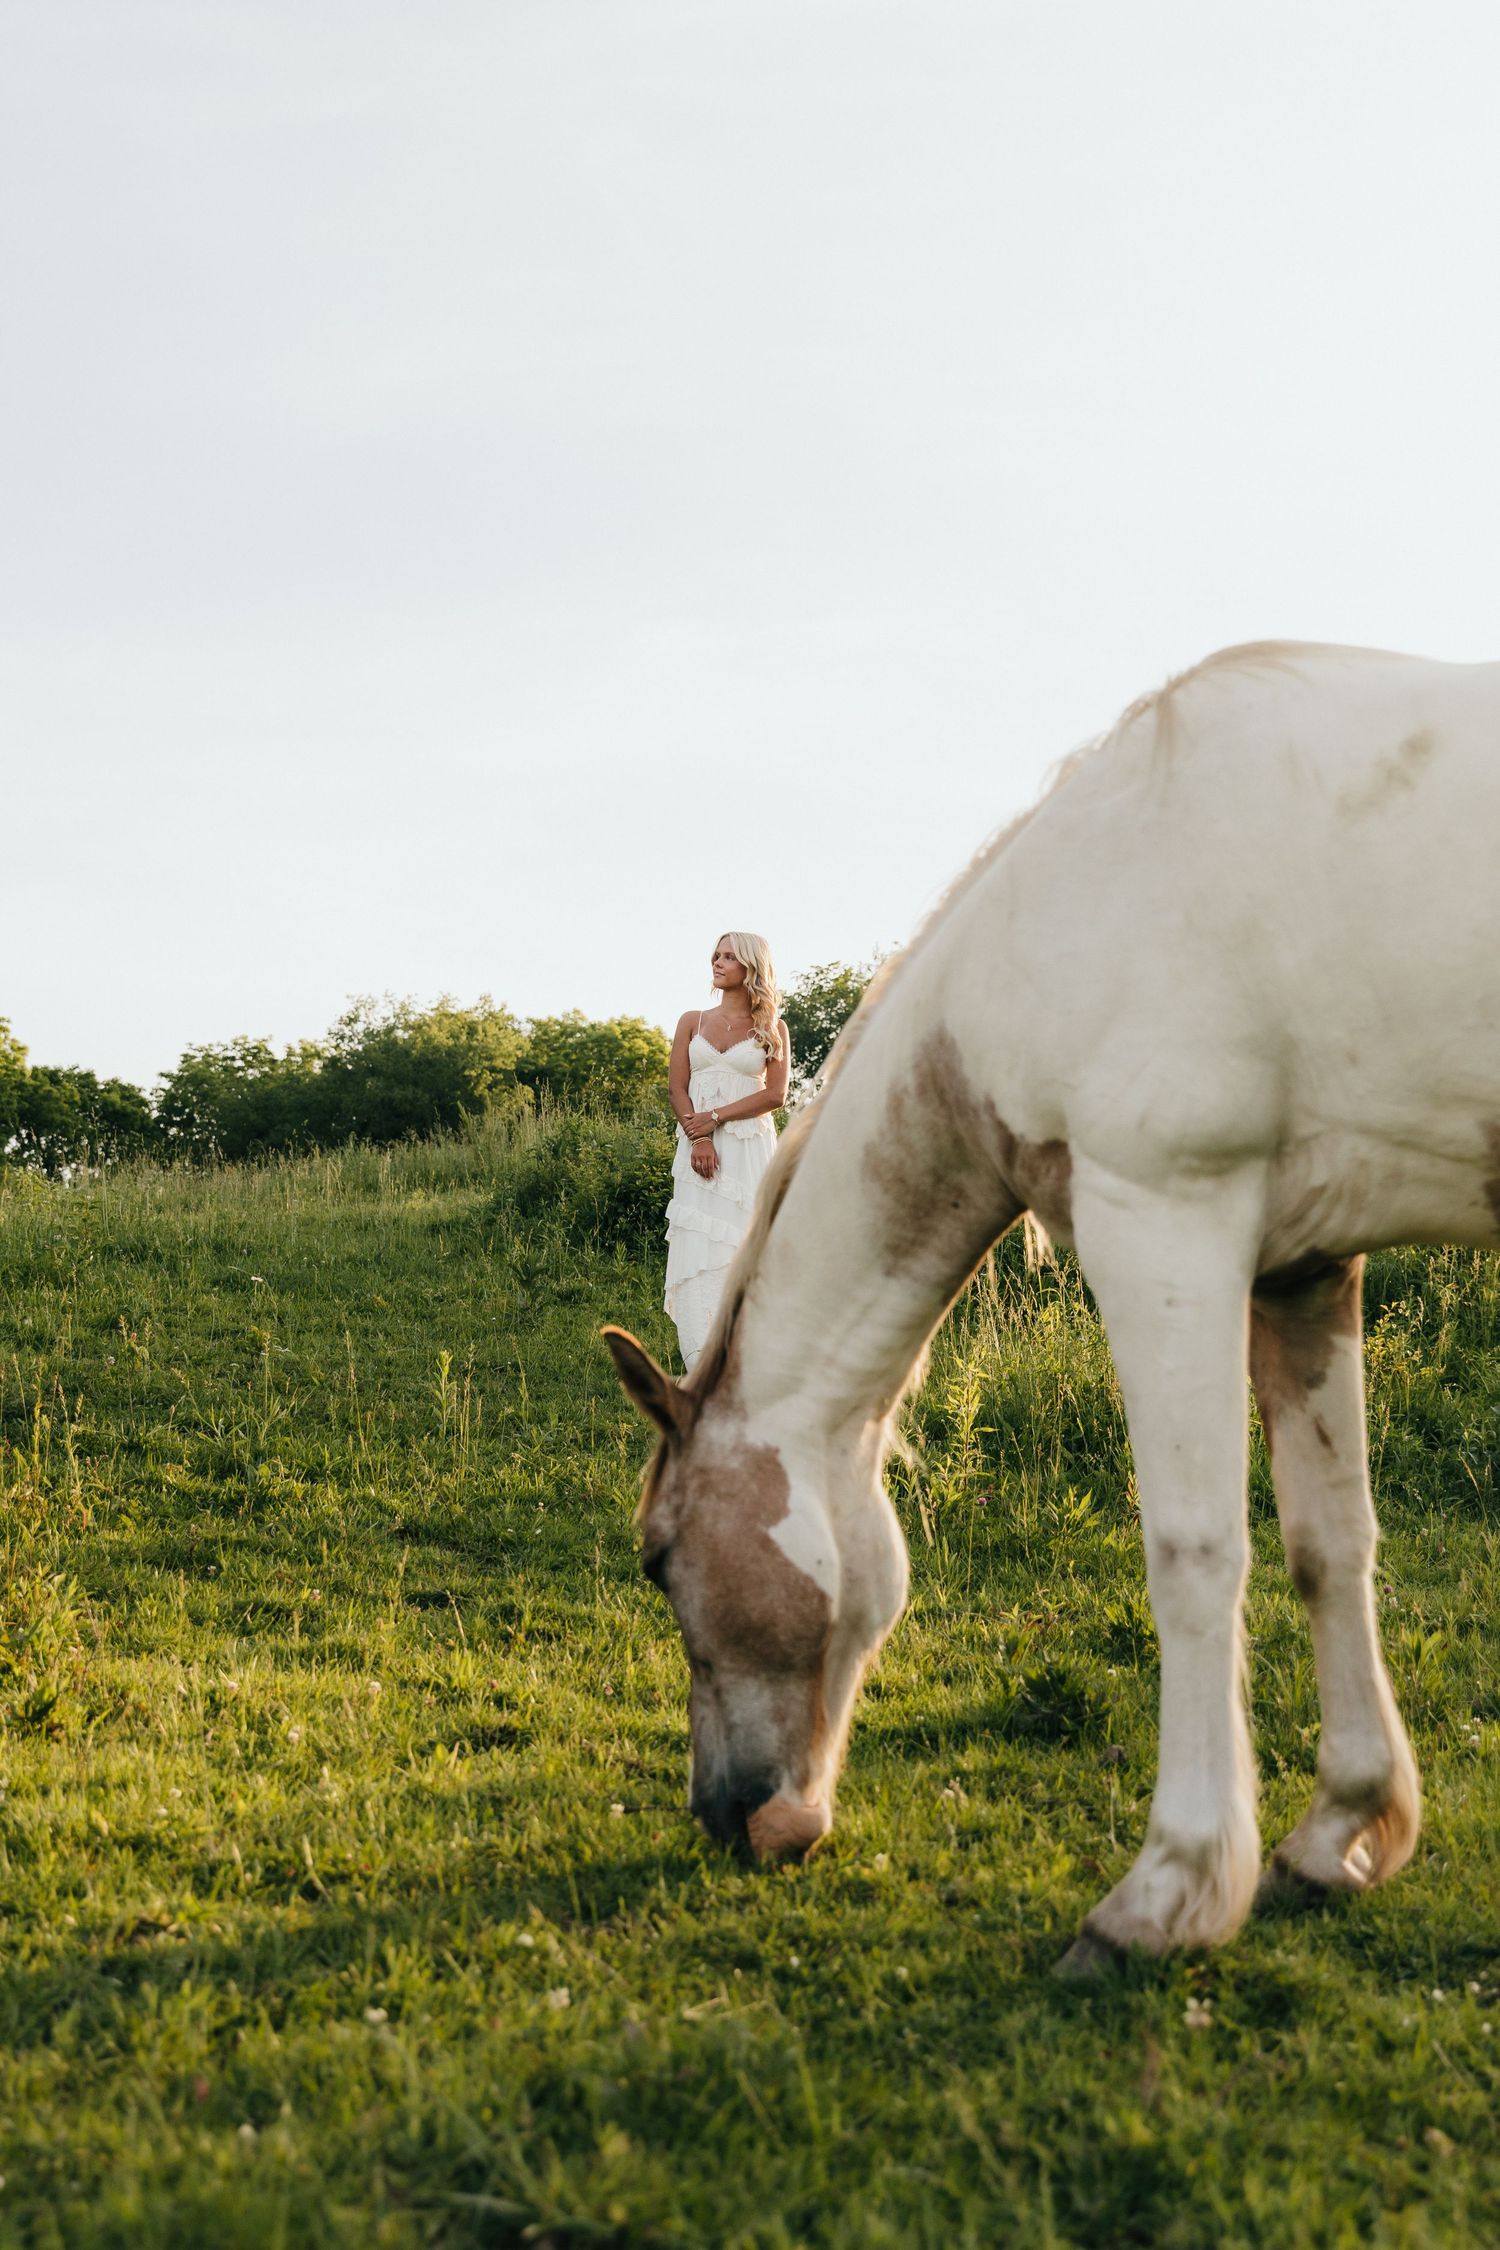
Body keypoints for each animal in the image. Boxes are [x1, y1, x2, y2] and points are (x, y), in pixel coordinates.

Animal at [605, 641, 1500, 1967]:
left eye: (660, 1561)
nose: (730, 1816)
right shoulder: (1304, 1269)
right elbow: (1327, 1543)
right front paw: (1342, 1829)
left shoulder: (1165, 1223)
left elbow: (1196, 1553)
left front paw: (1168, 1894)